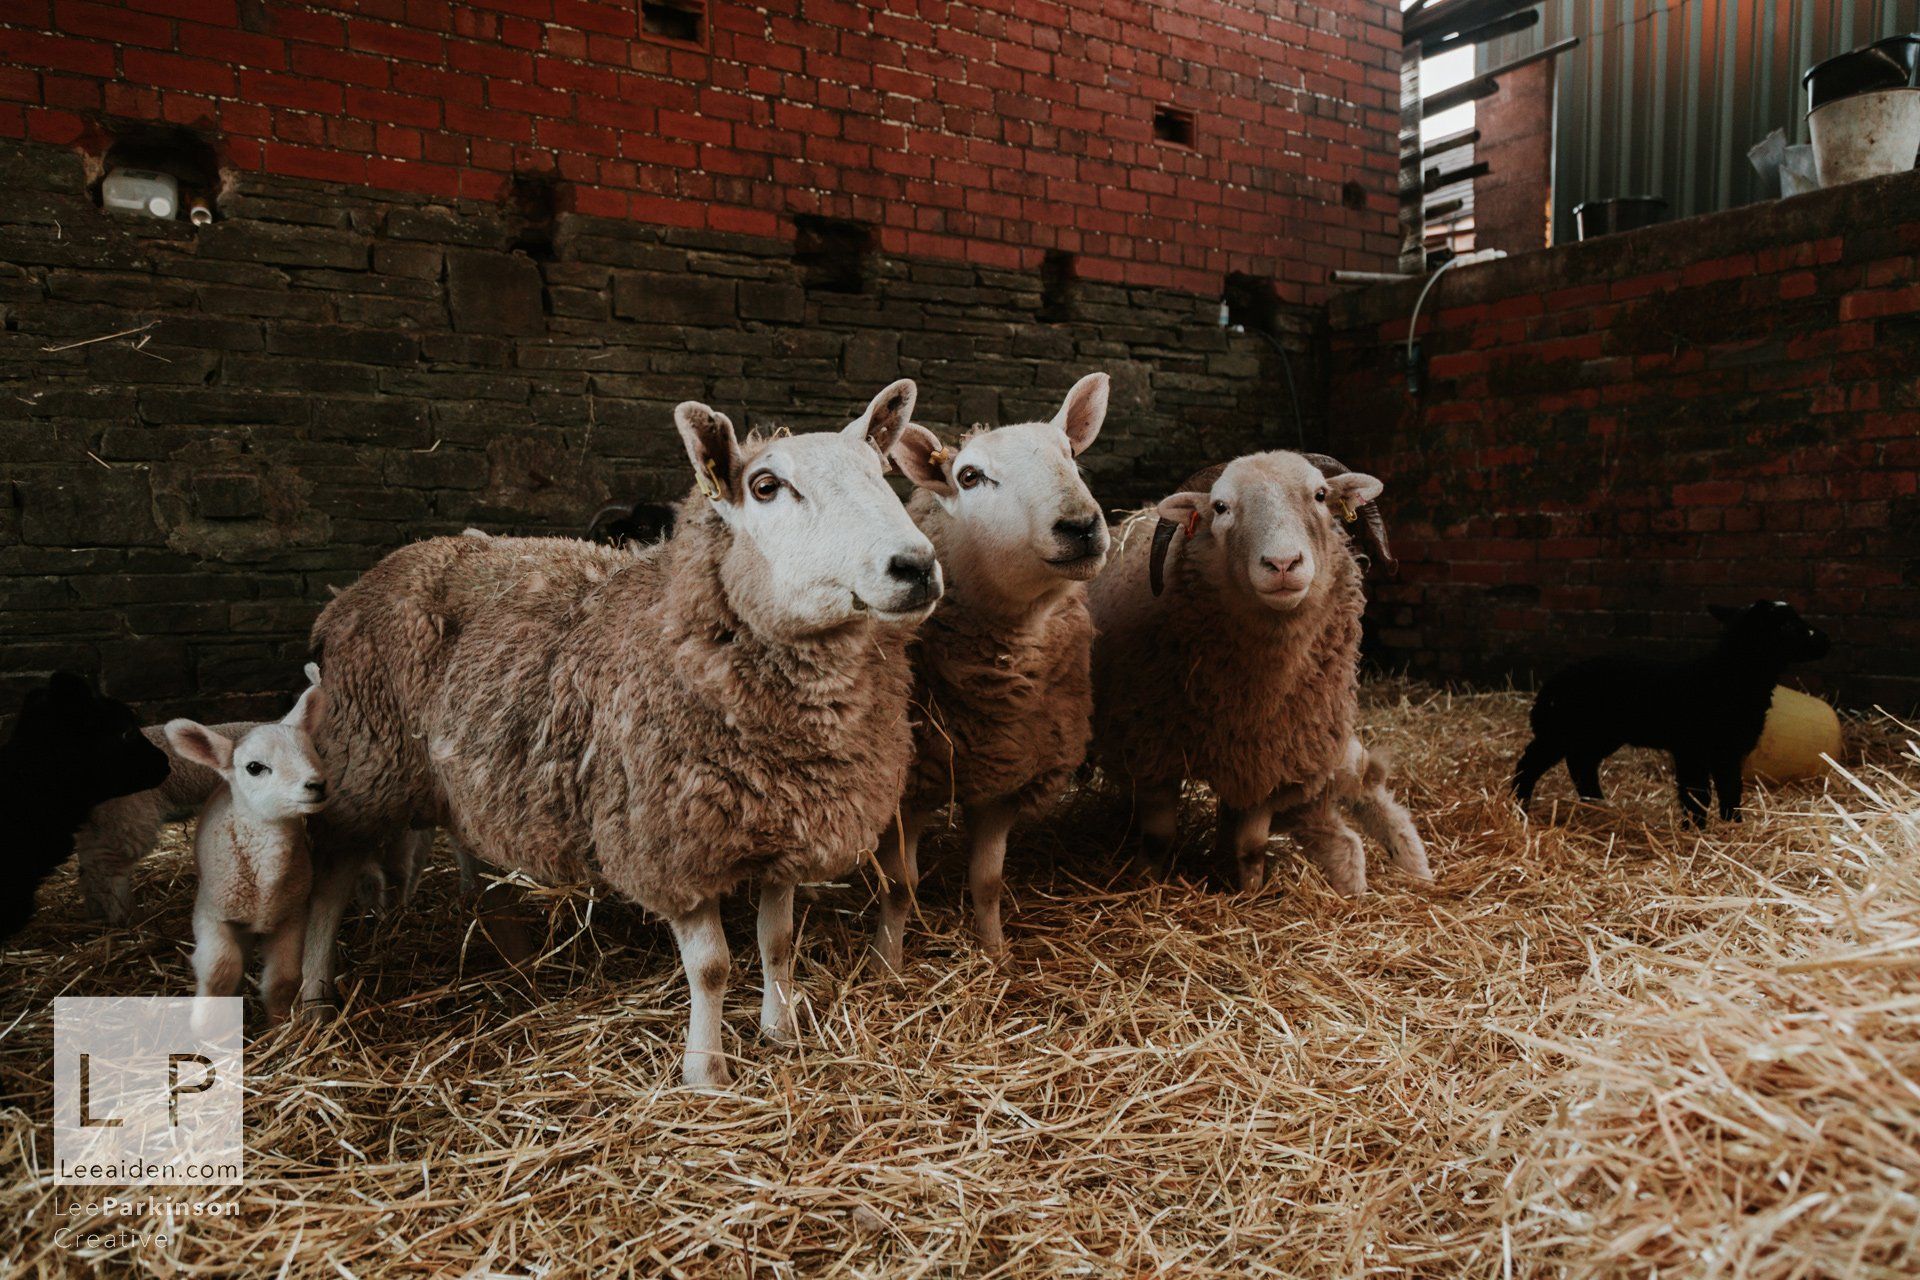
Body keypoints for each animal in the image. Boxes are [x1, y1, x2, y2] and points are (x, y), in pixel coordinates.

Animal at [299, 381, 942, 1086]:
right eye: (767, 486)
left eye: (880, 472)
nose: (915, 566)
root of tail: (354, 588)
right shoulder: (665, 841)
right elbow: (711, 967)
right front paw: (706, 1074)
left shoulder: (786, 825)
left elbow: (777, 943)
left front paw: (782, 1033)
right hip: (365, 762)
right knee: (328, 876)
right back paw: (312, 998)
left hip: (450, 764)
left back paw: (507, 945)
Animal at [869, 373, 1112, 968]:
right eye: (969, 476)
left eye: (1072, 454)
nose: (1081, 526)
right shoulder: (908, 790)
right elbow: (901, 886)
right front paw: (888, 966)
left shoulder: (1007, 778)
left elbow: (988, 880)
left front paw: (995, 953)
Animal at [1088, 450, 1431, 895]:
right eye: (1220, 507)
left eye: (1321, 495)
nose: (1283, 564)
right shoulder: (1151, 750)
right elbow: (1159, 837)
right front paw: (1145, 887)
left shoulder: (1271, 759)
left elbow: (1251, 846)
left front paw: (1250, 893)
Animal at [1513, 599, 1830, 825]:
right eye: (1788, 627)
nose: (1826, 640)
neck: (1727, 676)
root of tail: (1550, 685)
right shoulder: (1692, 748)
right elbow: (1697, 792)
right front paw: (1696, 829)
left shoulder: (1728, 751)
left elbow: (1731, 789)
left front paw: (1733, 826)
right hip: (1561, 731)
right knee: (1531, 762)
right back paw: (1520, 806)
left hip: (1599, 735)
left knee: (1581, 763)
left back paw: (1599, 806)